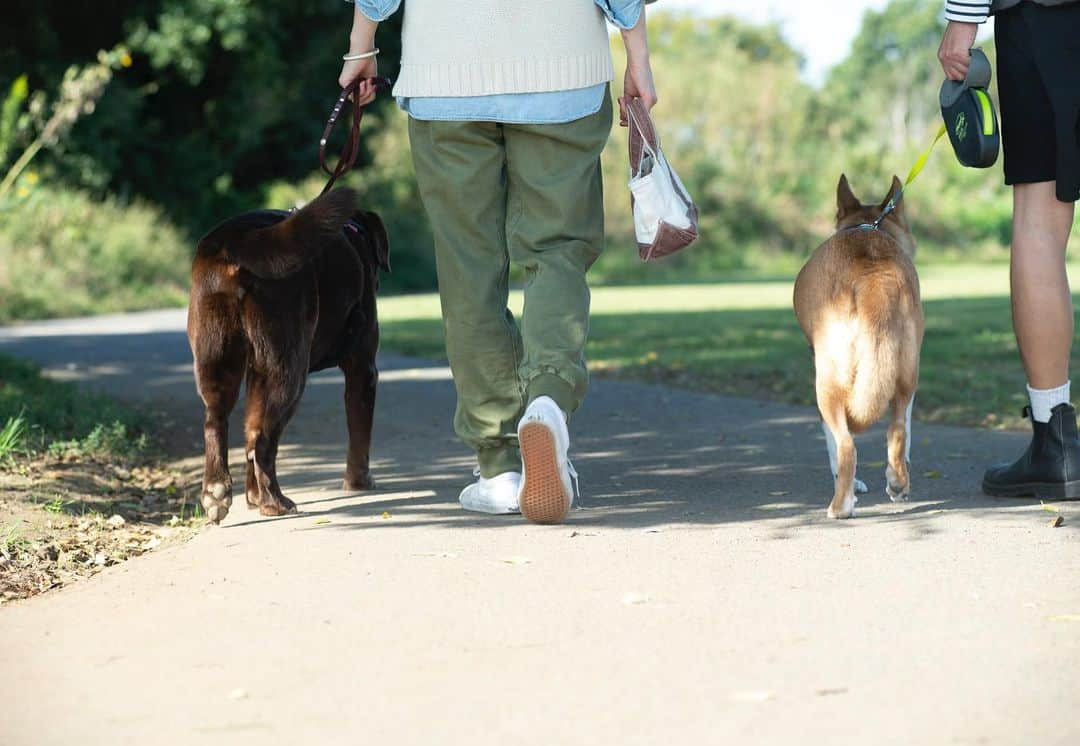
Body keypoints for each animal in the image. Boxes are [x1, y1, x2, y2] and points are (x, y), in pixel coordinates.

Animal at [187, 190, 390, 522]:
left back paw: (217, 493)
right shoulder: (363, 369)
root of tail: (237, 239)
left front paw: (251, 496)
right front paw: (359, 482)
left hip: (217, 357)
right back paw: (275, 501)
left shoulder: (254, 371)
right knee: (262, 438)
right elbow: (360, 433)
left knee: (218, 422)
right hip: (288, 366)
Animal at [790, 177, 924, 520]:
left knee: (847, 445)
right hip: (906, 372)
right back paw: (897, 484)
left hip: (827, 382)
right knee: (898, 430)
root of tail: (873, 276)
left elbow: (832, 445)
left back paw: (841, 506)